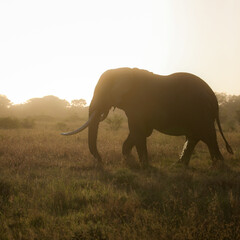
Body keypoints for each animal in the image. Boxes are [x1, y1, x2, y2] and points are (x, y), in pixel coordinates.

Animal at [61, 66, 232, 166]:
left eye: (103, 93)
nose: (101, 160)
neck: (124, 72)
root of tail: (214, 98)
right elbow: (140, 132)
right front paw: (129, 160)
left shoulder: (138, 104)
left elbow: (138, 130)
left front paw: (143, 166)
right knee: (194, 136)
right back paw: (180, 166)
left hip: (201, 111)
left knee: (207, 135)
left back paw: (219, 165)